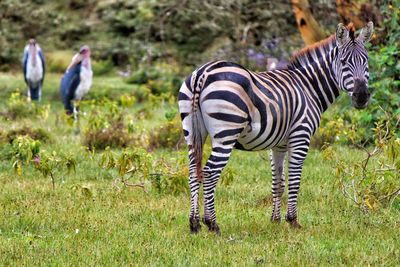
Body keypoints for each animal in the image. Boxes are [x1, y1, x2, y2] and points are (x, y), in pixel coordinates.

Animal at [180, 23, 374, 236]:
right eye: (343, 61)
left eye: (366, 61)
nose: (361, 96)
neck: (308, 87)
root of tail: (202, 73)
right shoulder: (300, 137)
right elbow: (294, 181)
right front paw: (293, 220)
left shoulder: (278, 144)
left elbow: (278, 182)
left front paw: (275, 220)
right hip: (226, 133)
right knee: (209, 173)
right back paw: (212, 224)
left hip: (192, 132)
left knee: (194, 171)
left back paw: (194, 223)